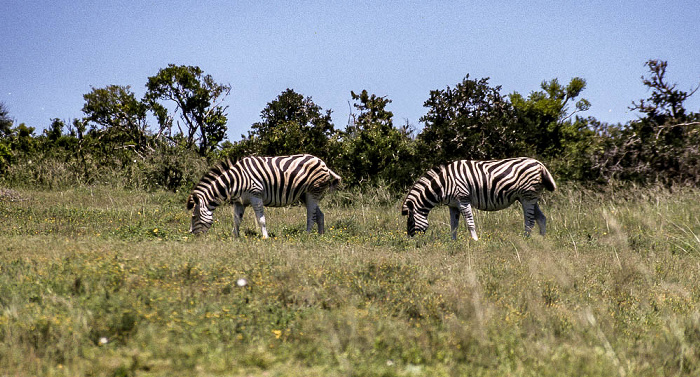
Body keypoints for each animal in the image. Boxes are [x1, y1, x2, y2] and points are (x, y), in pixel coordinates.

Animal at [186, 153, 340, 238]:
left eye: (194, 217)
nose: (192, 236)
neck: (234, 181)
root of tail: (324, 164)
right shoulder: (239, 201)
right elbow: (236, 220)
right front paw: (235, 237)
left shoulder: (256, 196)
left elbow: (261, 220)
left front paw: (265, 238)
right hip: (304, 195)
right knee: (319, 214)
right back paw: (320, 236)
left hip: (312, 191)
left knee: (311, 215)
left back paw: (307, 235)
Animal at [400, 156, 556, 239]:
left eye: (410, 221)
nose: (410, 241)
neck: (444, 183)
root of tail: (539, 164)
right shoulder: (453, 205)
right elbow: (453, 226)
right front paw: (452, 243)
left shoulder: (463, 200)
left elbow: (470, 223)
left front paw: (476, 241)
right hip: (530, 197)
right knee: (541, 218)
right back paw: (542, 241)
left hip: (527, 197)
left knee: (530, 221)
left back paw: (525, 240)